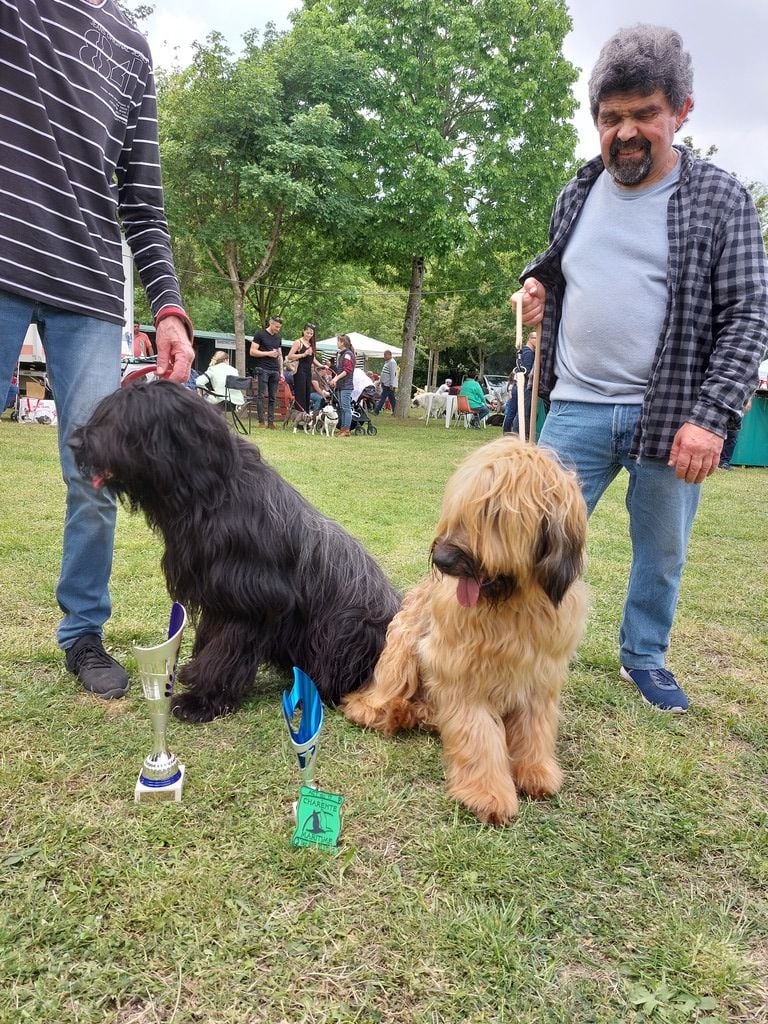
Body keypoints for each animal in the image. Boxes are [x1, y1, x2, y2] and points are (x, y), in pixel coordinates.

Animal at [70, 376, 403, 720]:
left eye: (122, 422)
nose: (75, 443)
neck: (212, 494)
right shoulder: (214, 593)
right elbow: (209, 640)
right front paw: (195, 676)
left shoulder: (250, 598)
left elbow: (225, 649)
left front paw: (203, 698)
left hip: (345, 627)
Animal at [342, 436, 589, 827]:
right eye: (459, 506)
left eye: (492, 513)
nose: (441, 560)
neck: (512, 605)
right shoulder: (462, 669)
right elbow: (478, 736)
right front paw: (487, 794)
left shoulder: (541, 674)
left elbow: (535, 726)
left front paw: (535, 771)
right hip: (402, 647)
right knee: (370, 702)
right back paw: (393, 712)